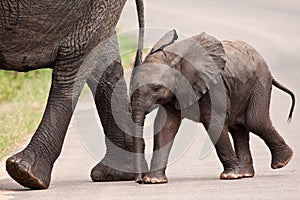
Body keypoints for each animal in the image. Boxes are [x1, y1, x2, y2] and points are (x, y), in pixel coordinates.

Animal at [130, 28, 294, 184]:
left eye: (156, 88)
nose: (139, 180)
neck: (173, 59)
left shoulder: (213, 85)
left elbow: (214, 122)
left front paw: (230, 176)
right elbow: (166, 127)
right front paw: (153, 180)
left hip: (260, 82)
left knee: (255, 121)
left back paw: (282, 162)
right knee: (238, 128)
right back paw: (246, 174)